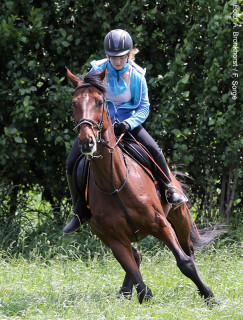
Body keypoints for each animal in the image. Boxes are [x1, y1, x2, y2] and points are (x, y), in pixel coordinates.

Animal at [65, 69, 223, 304]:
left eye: (100, 101)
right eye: (74, 103)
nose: (87, 142)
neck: (115, 183)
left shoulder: (161, 224)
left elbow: (185, 263)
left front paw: (211, 298)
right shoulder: (115, 240)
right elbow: (137, 278)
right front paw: (141, 296)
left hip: (180, 218)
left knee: (189, 251)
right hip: (104, 234)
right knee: (136, 257)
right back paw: (124, 292)